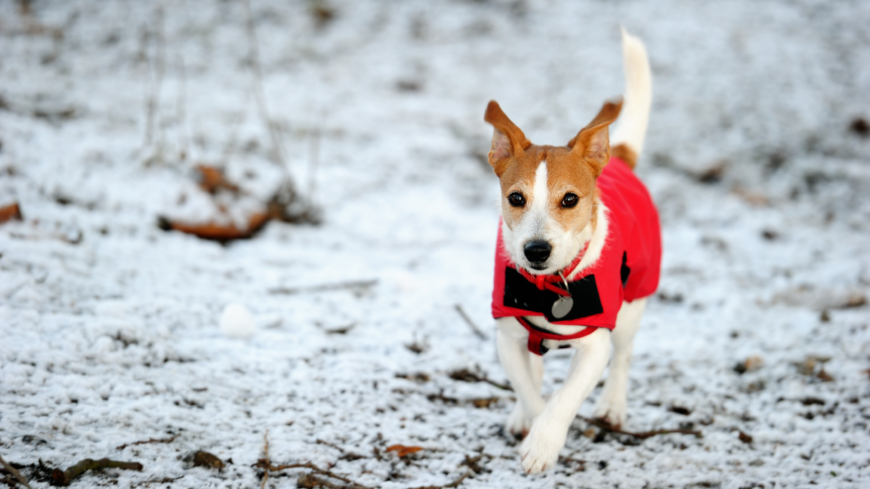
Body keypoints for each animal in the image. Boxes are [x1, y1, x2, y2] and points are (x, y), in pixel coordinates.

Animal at [484, 29, 660, 472]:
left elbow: (565, 397)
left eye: (569, 199)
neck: (550, 286)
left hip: (634, 301)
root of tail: (620, 160)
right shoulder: (508, 336)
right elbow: (530, 390)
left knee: (625, 354)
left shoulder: (594, 345)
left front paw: (543, 443)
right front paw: (531, 421)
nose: (536, 250)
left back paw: (613, 406)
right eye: (516, 198)